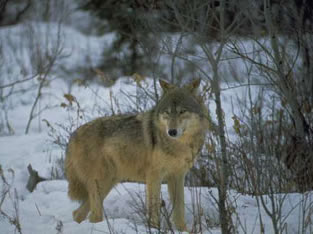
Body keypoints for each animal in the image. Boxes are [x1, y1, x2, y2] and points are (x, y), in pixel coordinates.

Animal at [64, 78, 207, 230]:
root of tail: (73, 136)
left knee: (77, 213)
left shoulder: (178, 176)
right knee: (92, 216)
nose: (172, 131)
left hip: (107, 184)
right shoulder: (154, 176)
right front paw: (154, 228)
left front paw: (183, 230)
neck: (178, 145)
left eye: (182, 111)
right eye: (167, 112)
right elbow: (154, 208)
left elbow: (179, 210)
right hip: (101, 184)